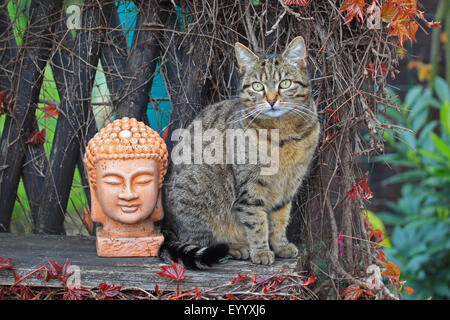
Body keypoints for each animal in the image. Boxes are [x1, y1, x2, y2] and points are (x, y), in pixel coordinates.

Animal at [158, 37, 320, 268]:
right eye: (258, 86)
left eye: (285, 83)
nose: (271, 100)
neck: (284, 133)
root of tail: (168, 227)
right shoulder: (251, 186)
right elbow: (257, 221)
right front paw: (261, 251)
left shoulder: (289, 186)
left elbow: (280, 219)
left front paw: (280, 245)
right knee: (201, 240)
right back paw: (235, 248)